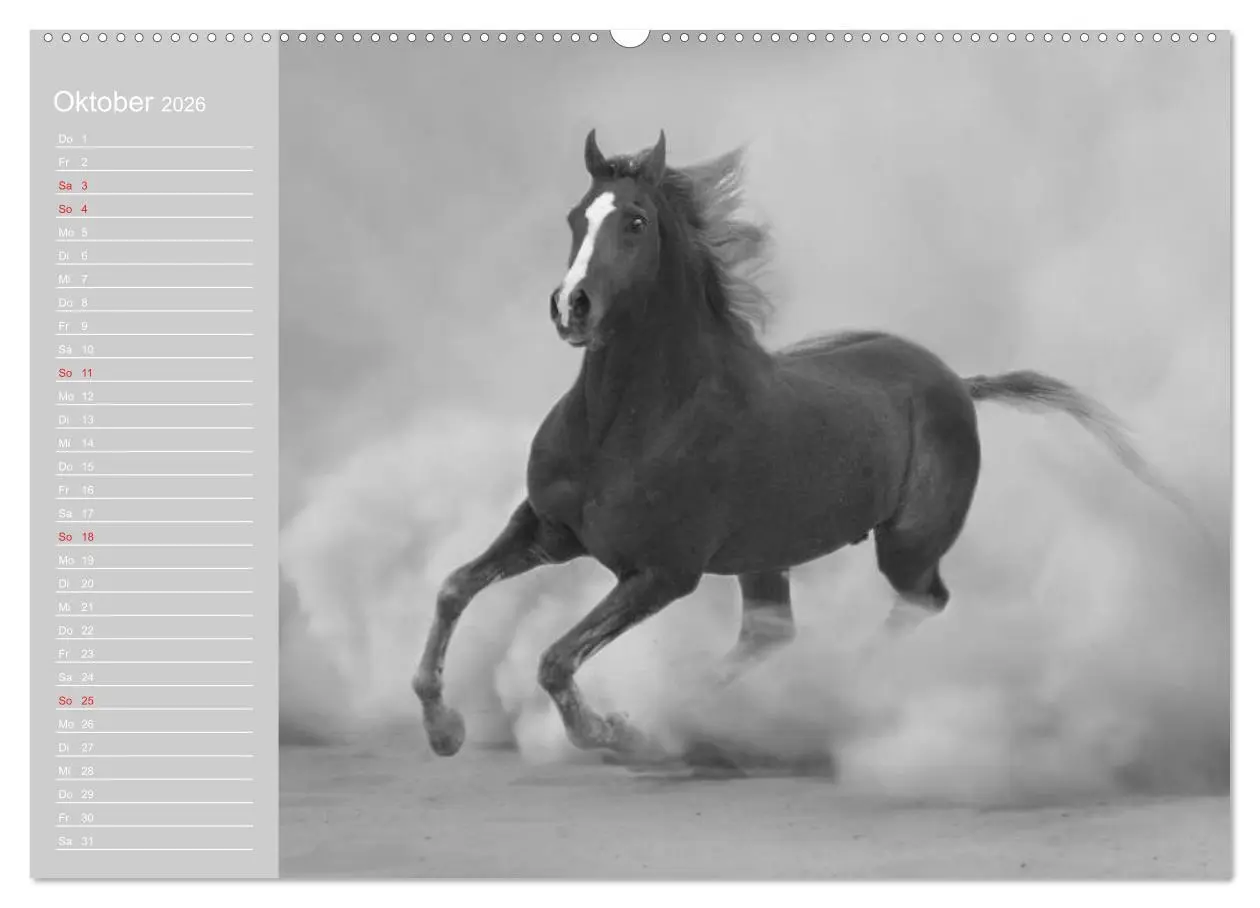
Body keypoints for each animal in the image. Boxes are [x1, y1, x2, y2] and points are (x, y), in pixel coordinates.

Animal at [412, 129, 1173, 758]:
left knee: (921, 602)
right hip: (766, 555)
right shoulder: (548, 530)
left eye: (634, 221)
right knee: (770, 634)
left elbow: (555, 659)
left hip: (907, 543)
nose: (572, 308)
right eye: (575, 217)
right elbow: (454, 588)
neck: (625, 423)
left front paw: (618, 734)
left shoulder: (661, 573)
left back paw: (818, 699)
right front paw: (444, 729)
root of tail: (955, 381)